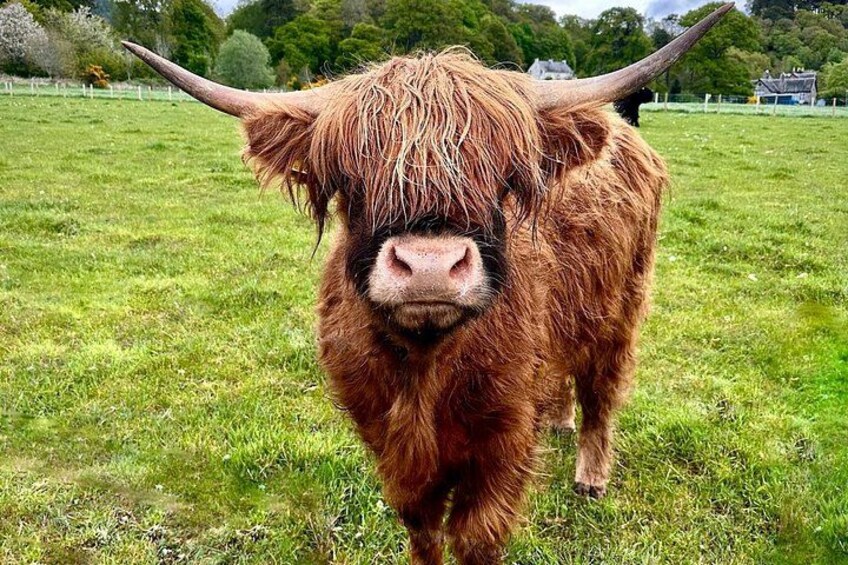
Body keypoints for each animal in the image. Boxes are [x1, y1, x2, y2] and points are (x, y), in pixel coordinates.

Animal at [124, 4, 732, 563]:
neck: (424, 371)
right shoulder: (387, 441)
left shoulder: (504, 441)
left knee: (602, 391)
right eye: (351, 181)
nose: (430, 267)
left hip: (623, 307)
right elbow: (422, 529)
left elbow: (477, 538)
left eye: (505, 179)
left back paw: (590, 477)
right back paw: (559, 421)